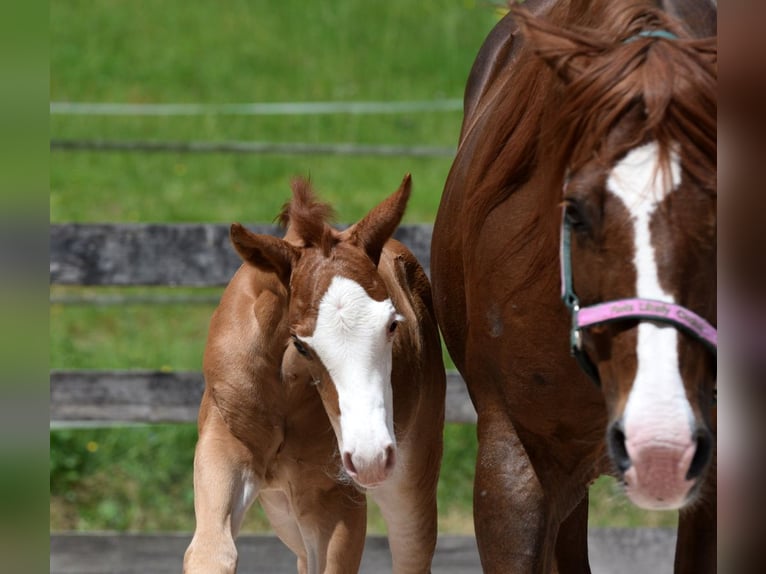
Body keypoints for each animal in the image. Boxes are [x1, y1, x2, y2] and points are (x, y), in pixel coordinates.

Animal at [183, 174, 446, 574]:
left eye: (391, 325)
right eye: (301, 344)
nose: (370, 456)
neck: (285, 389)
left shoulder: (333, 494)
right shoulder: (223, 450)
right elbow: (210, 553)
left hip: (407, 480)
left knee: (411, 551)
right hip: (282, 508)